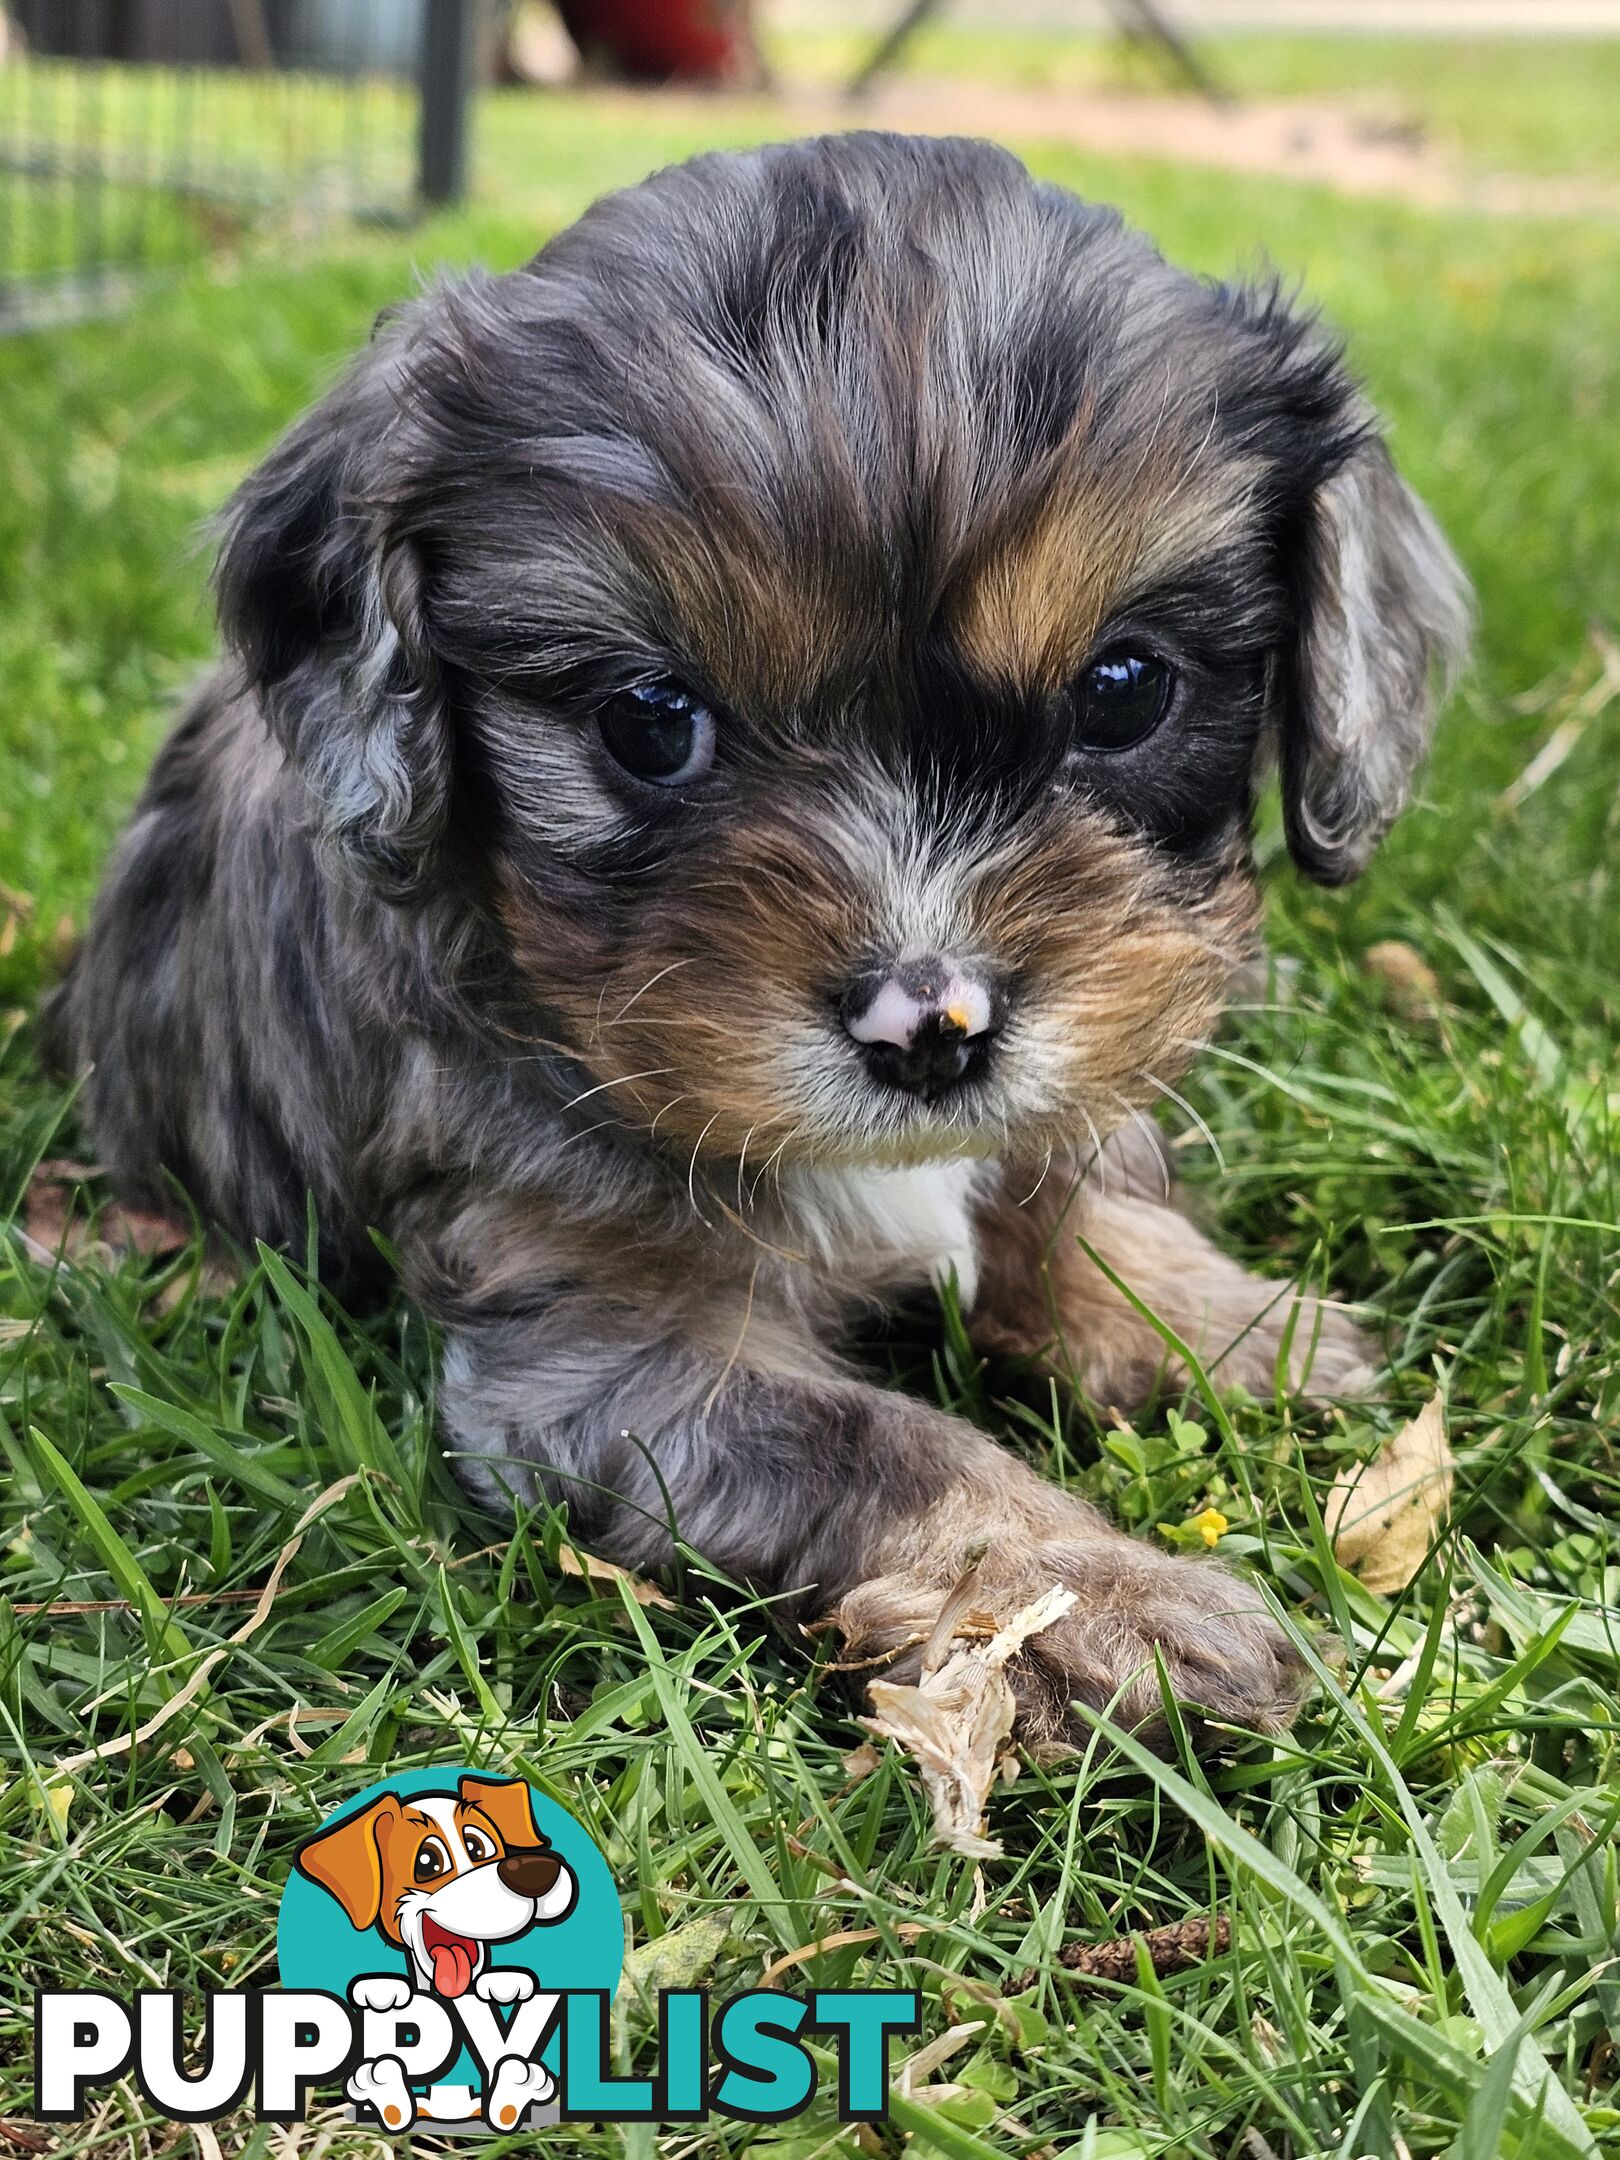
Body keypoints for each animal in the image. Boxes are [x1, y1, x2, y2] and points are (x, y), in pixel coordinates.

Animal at [47, 135, 1468, 1745]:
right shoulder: (603, 1354)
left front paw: (1216, 1320)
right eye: (648, 721)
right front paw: (1097, 1597)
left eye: (1124, 688)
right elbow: (887, 1446)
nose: (931, 1025)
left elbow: (1056, 1202)